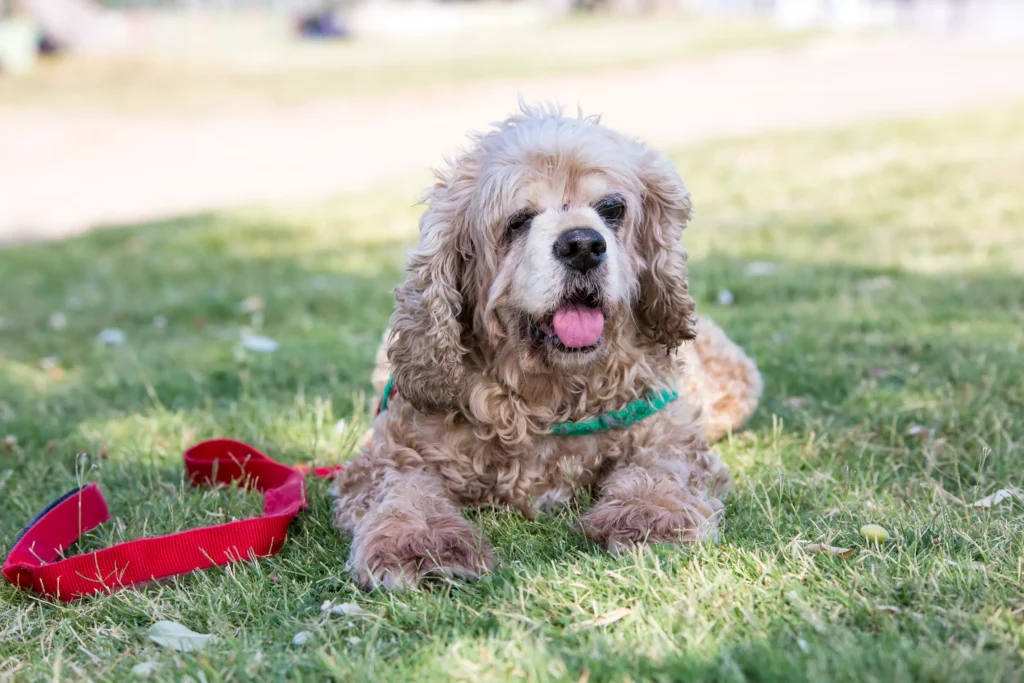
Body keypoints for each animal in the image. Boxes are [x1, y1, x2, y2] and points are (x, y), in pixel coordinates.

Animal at [329, 104, 761, 589]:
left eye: (612, 208)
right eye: (518, 220)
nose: (583, 245)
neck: (546, 398)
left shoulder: (667, 428)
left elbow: (662, 464)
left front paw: (649, 514)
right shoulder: (387, 453)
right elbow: (401, 487)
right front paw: (417, 543)